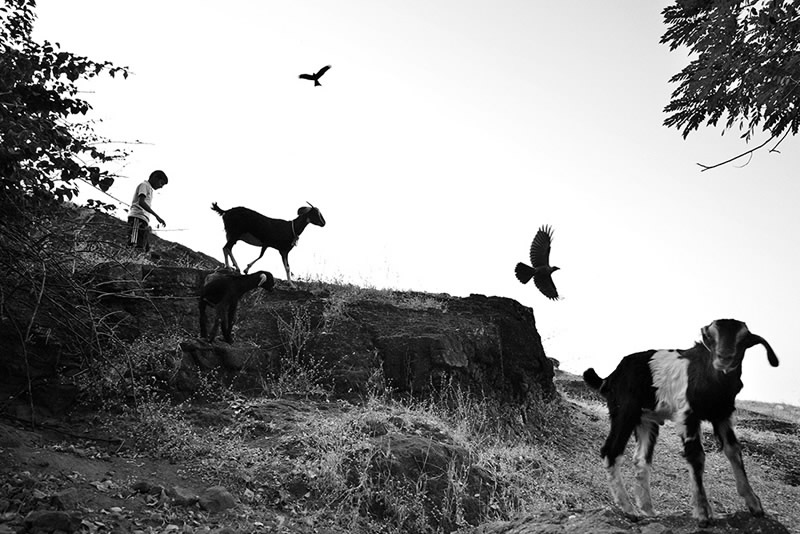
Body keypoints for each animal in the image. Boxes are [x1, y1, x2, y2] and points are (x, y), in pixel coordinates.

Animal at [584, 320, 780, 528]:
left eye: (743, 340)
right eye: (710, 336)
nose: (724, 357)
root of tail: (610, 377)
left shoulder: (722, 415)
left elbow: (733, 449)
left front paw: (754, 504)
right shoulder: (688, 415)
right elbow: (696, 456)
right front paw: (703, 512)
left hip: (647, 420)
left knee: (641, 459)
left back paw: (648, 510)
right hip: (625, 412)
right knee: (611, 451)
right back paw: (629, 509)